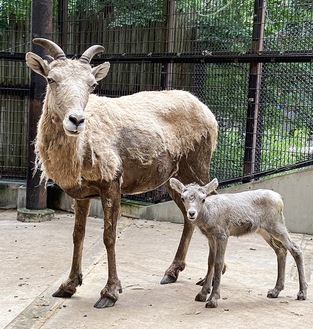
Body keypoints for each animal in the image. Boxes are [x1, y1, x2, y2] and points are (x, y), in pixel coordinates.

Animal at [25, 38, 217, 308]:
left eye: (92, 84)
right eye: (52, 79)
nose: (76, 120)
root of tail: (208, 113)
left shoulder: (111, 184)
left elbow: (109, 236)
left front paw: (109, 293)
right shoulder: (82, 194)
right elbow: (77, 235)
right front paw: (67, 286)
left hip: (197, 167)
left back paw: (207, 279)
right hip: (174, 179)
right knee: (188, 216)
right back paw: (171, 272)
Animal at [169, 177, 306, 308]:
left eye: (203, 199)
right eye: (183, 198)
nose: (191, 213)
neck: (208, 217)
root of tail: (280, 199)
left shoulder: (223, 234)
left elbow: (219, 262)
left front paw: (213, 299)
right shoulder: (210, 237)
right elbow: (210, 262)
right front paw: (202, 294)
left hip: (277, 225)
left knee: (295, 248)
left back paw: (302, 292)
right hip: (264, 230)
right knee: (281, 250)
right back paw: (275, 290)